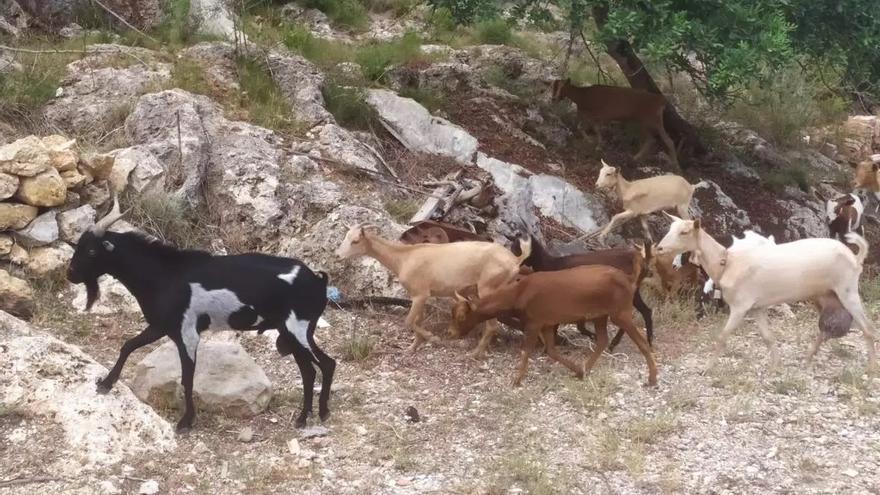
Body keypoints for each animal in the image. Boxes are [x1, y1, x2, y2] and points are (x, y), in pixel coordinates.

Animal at [67, 200, 336, 432]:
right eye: (78, 246)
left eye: (91, 251)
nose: (70, 274)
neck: (164, 275)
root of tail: (317, 281)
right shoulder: (160, 326)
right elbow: (128, 346)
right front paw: (105, 383)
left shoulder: (187, 333)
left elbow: (187, 378)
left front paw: (186, 421)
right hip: (290, 332)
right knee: (312, 370)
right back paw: (306, 417)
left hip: (297, 329)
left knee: (324, 365)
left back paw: (318, 414)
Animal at [336, 225, 528, 356]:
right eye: (345, 237)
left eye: (355, 240)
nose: (338, 256)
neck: (404, 258)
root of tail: (515, 261)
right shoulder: (420, 296)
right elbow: (417, 321)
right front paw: (412, 347)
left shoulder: (420, 294)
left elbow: (408, 322)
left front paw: (432, 338)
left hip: (488, 289)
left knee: (492, 325)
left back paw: (474, 354)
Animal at [454, 260, 652, 388]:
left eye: (461, 316)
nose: (452, 333)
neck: (518, 295)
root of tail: (630, 279)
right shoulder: (548, 323)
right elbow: (551, 350)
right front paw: (578, 370)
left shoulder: (534, 321)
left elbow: (526, 351)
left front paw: (516, 380)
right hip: (601, 315)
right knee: (602, 340)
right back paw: (585, 369)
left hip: (620, 312)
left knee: (642, 341)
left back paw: (652, 379)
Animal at [656, 215, 876, 370]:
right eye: (670, 228)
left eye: (684, 232)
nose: (659, 248)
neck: (727, 263)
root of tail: (855, 258)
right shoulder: (757, 308)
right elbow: (767, 337)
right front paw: (775, 366)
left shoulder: (740, 306)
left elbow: (722, 337)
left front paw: (707, 368)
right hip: (826, 296)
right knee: (827, 328)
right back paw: (807, 358)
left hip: (847, 290)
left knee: (867, 328)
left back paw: (870, 367)